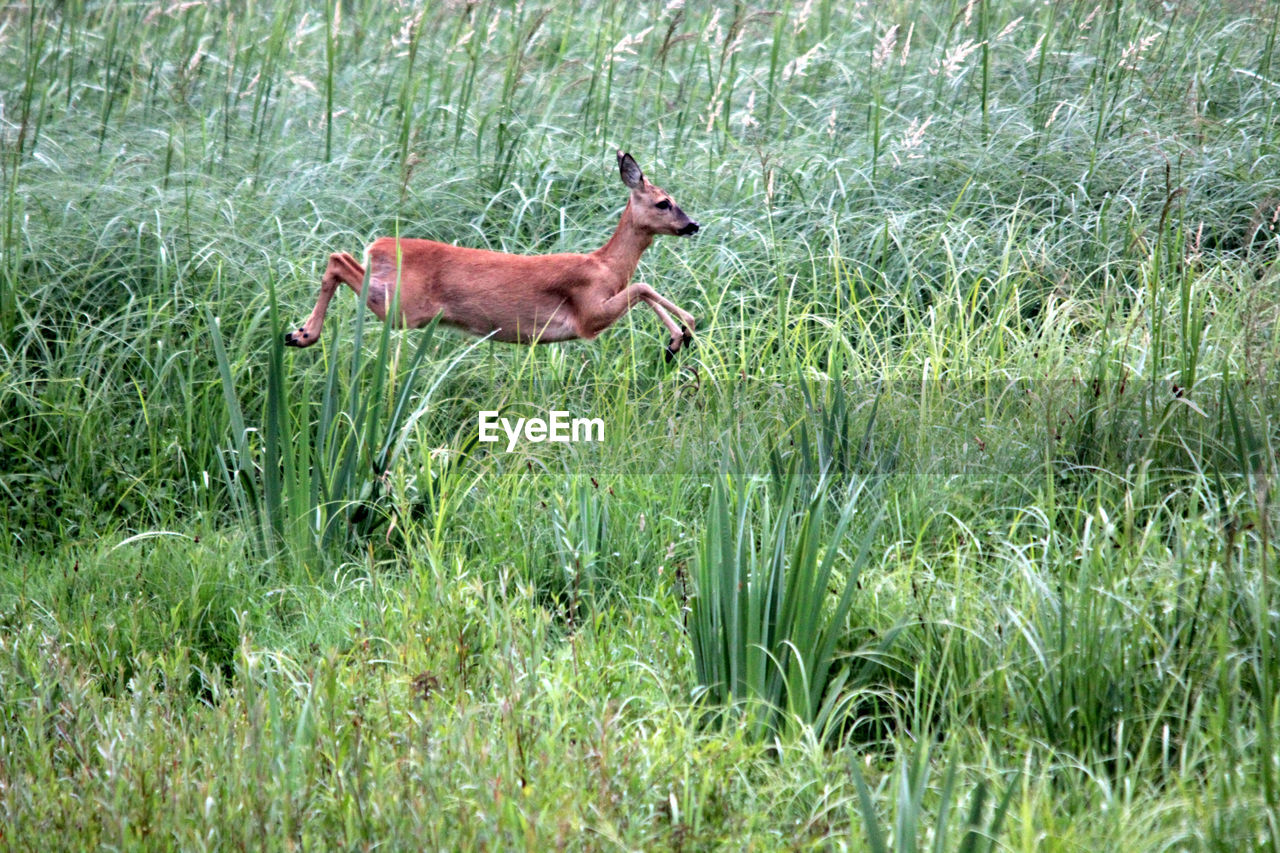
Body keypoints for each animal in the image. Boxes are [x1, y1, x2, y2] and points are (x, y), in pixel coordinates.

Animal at [285, 153, 701, 358]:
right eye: (664, 203)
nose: (693, 225)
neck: (606, 267)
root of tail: (380, 244)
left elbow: (645, 289)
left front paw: (678, 339)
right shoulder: (587, 316)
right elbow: (643, 287)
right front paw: (682, 332)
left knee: (339, 257)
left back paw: (297, 334)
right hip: (403, 306)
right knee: (338, 260)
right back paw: (302, 334)